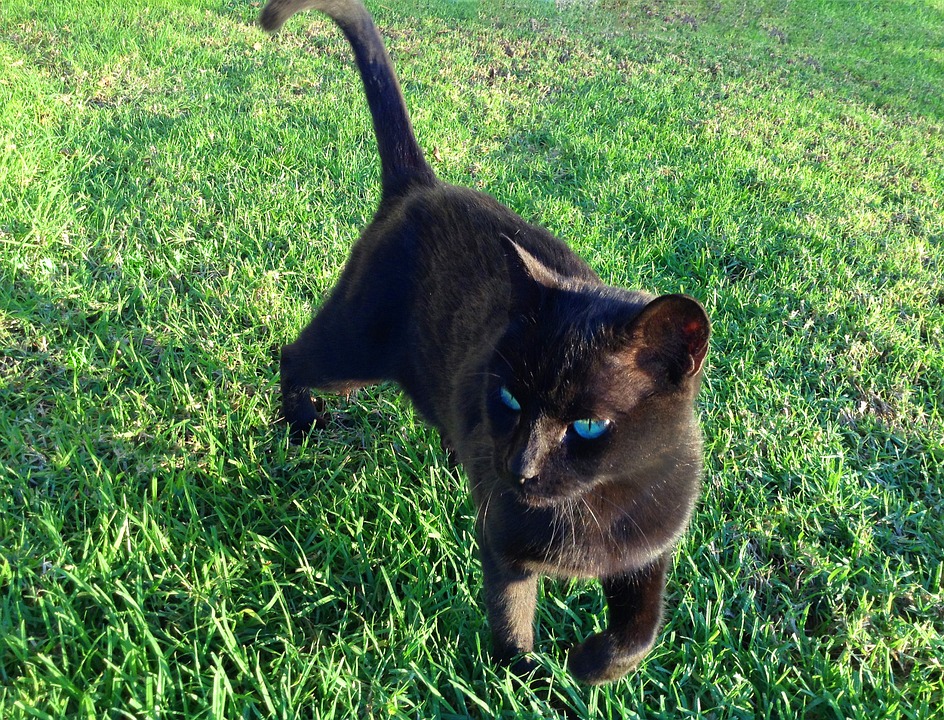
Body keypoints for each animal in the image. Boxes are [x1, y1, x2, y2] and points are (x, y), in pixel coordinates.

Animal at [258, 0, 708, 688]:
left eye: (589, 426)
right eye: (512, 398)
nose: (518, 467)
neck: (591, 509)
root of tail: (420, 185)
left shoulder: (649, 549)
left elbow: (640, 632)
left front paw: (591, 665)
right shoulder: (504, 546)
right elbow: (511, 624)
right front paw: (530, 683)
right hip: (352, 351)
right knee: (294, 356)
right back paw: (301, 421)